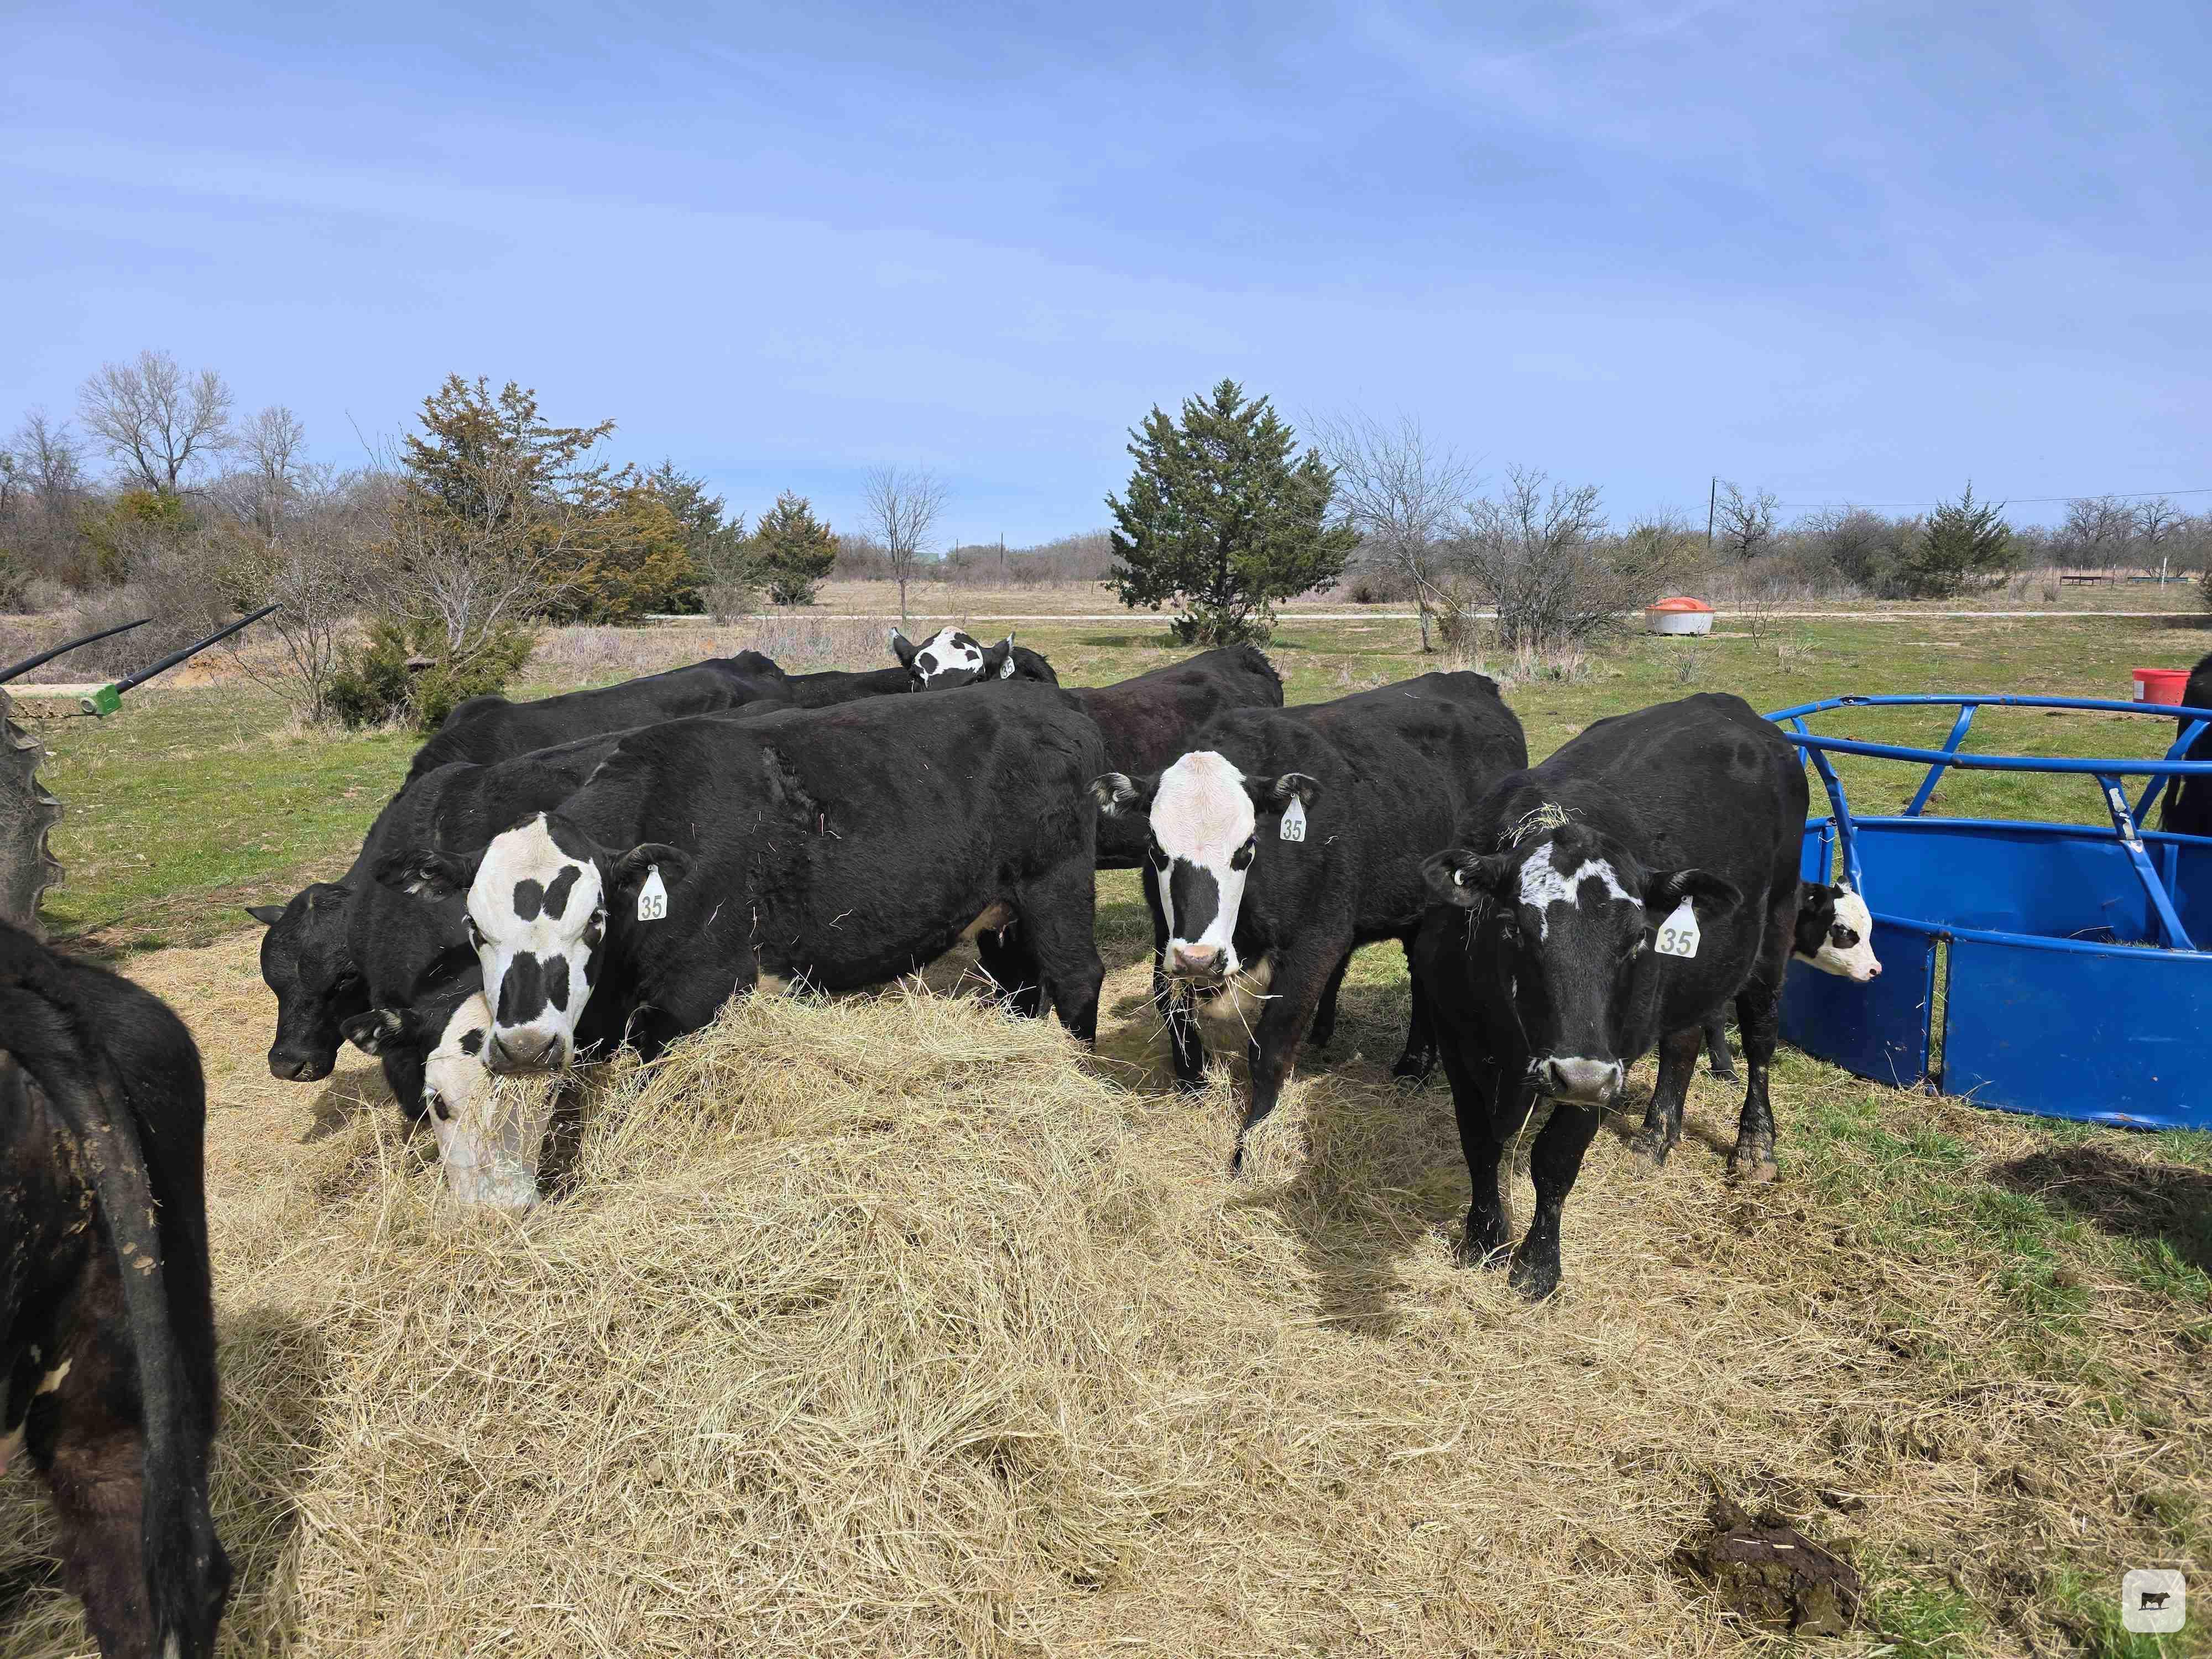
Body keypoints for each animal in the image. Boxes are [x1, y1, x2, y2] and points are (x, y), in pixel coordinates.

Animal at [374, 686, 1107, 1081]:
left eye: (594, 921)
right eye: (475, 927)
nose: (526, 1047)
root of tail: (1051, 703)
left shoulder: (697, 994)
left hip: (1057, 884)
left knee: (1076, 976)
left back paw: (1079, 1071)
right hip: (1002, 909)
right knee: (1022, 984)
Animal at [1092, 672, 1526, 1168]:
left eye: (1246, 848)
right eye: (1156, 848)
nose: (1201, 960)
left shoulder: (1314, 943)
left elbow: (1270, 1049)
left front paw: (1249, 1150)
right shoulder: (1169, 942)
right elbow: (1175, 1018)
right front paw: (1193, 1091)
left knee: (1422, 980)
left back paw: (1413, 1067)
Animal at [1411, 693, 1808, 1299]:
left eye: (1637, 936)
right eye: (1515, 927)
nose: (1578, 1076)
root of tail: (1729, 706)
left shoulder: (1607, 1060)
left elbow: (1555, 1158)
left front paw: (1537, 1265)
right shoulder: (1455, 1038)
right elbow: (1479, 1141)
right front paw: (1483, 1239)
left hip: (1777, 926)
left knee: (1761, 1037)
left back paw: (1755, 1146)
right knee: (1682, 1043)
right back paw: (1656, 1137)